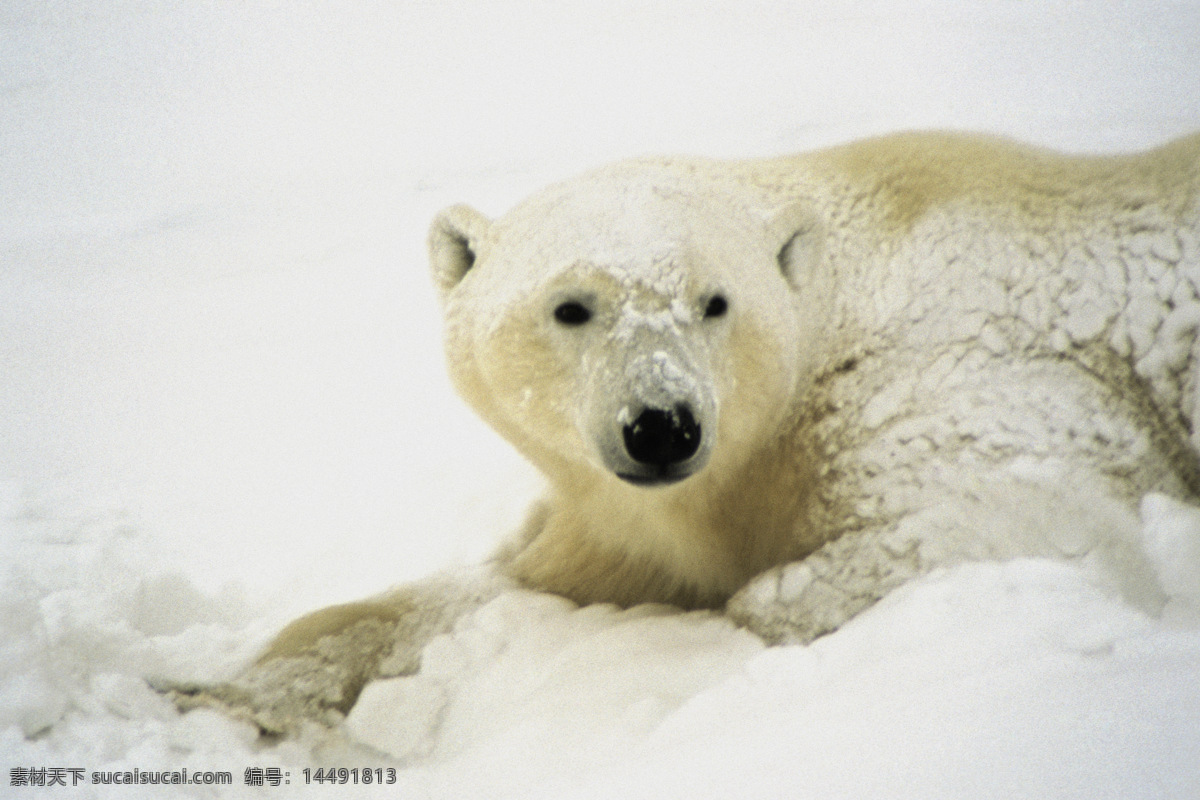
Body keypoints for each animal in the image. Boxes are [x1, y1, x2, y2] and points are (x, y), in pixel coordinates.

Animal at [169, 133, 1200, 738]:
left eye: (716, 302)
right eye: (571, 306)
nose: (661, 427)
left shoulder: (962, 391)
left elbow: (1026, 518)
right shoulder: (611, 505)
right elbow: (504, 582)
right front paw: (214, 695)